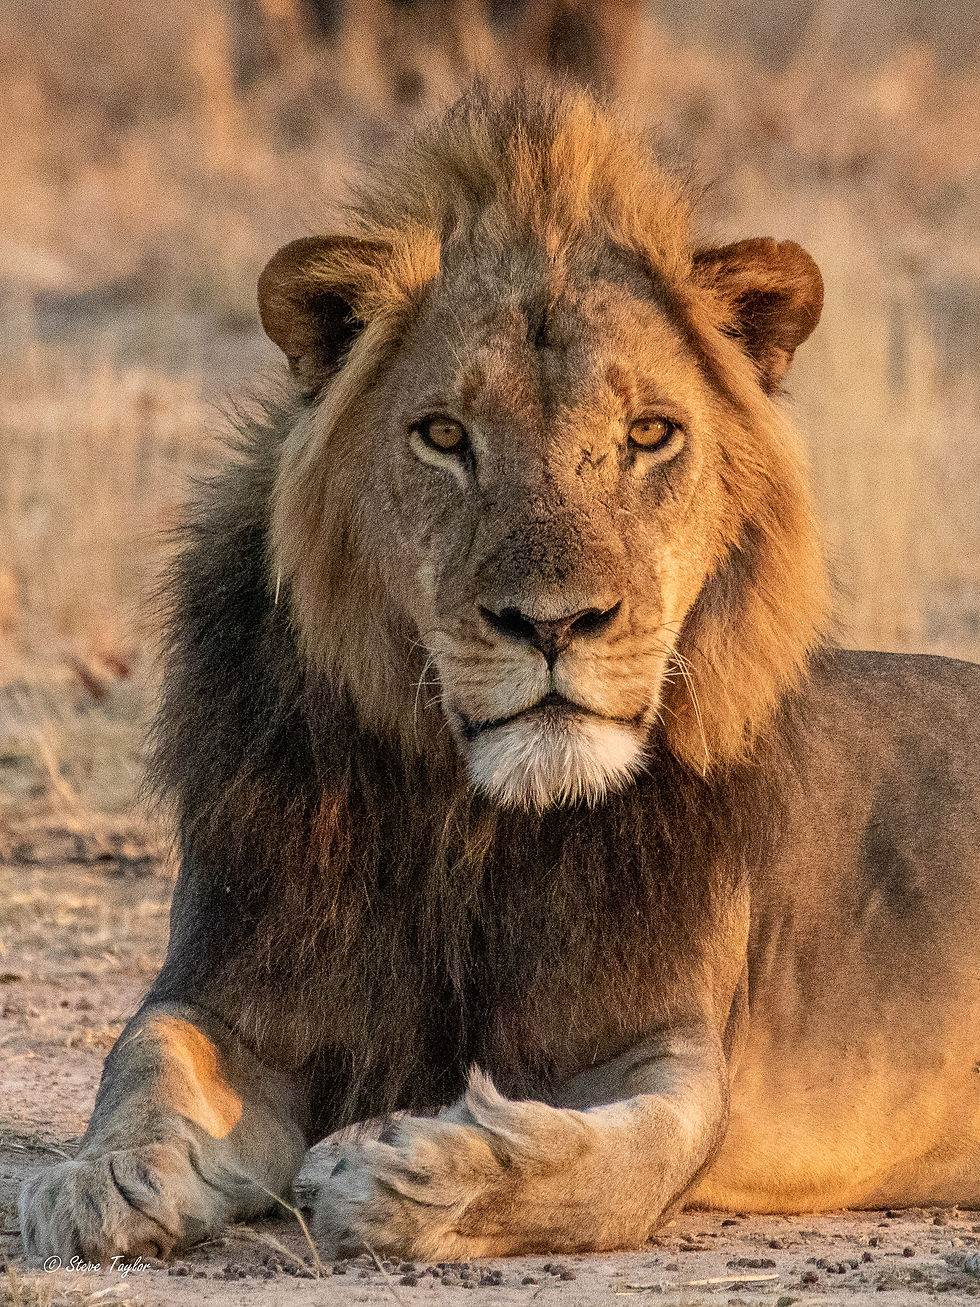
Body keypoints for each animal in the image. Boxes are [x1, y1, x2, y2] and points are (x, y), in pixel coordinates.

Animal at [20, 85, 980, 1263]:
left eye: (648, 433)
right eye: (443, 435)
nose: (552, 622)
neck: (478, 823)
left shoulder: (669, 1048)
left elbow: (616, 1163)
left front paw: (413, 1168)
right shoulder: (230, 981)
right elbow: (144, 1056)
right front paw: (101, 1178)